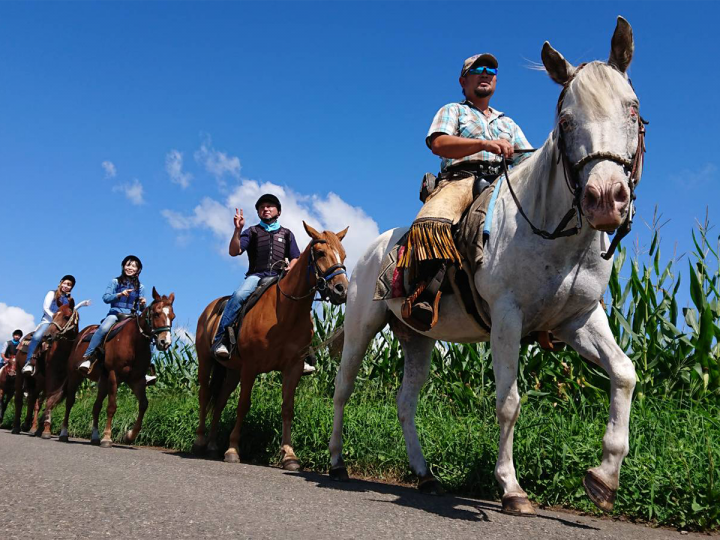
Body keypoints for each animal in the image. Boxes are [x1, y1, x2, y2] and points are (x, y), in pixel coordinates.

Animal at [11, 300, 79, 434]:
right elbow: (50, 399)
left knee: (33, 399)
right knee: (19, 399)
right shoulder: (51, 376)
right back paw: (16, 426)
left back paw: (28, 425)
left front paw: (43, 427)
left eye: (66, 316)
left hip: (38, 381)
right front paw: (45, 429)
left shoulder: (63, 381)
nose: (47, 335)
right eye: (53, 316)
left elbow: (53, 400)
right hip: (20, 374)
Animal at [60, 288, 176, 450]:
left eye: (172, 316)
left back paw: (94, 437)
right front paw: (107, 438)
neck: (133, 341)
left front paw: (129, 436)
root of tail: (81, 334)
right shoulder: (114, 376)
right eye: (156, 314)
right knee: (69, 402)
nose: (165, 342)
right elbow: (112, 407)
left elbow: (143, 404)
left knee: (96, 407)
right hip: (74, 376)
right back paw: (64, 433)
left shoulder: (136, 380)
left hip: (103, 382)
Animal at [191, 223, 348, 468]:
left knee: (220, 401)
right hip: (206, 361)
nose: (342, 289)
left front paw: (289, 455)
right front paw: (233, 449)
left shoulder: (293, 368)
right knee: (205, 395)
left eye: (344, 255)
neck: (285, 312)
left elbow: (287, 408)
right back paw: (200, 442)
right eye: (321, 253)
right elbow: (243, 405)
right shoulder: (251, 367)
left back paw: (213, 446)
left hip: (231, 371)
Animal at [330, 15, 644, 516]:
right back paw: (337, 463)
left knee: (406, 401)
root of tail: (367, 251)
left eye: (632, 110)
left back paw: (426, 475)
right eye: (566, 120)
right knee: (343, 387)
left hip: (417, 337)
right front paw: (512, 488)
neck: (553, 235)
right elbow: (509, 401)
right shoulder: (507, 317)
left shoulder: (579, 319)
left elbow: (624, 373)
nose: (604, 199)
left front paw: (604, 479)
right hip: (362, 323)